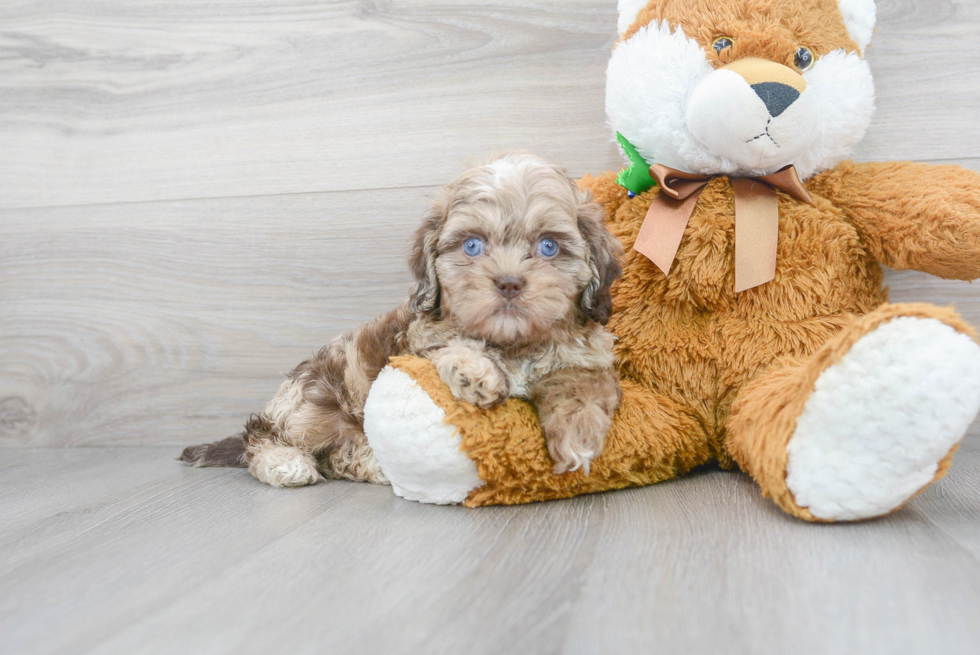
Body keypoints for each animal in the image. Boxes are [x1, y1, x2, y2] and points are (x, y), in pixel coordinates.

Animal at [181, 154, 624, 486]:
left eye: (549, 246)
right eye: (472, 245)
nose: (510, 283)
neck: (515, 343)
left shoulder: (584, 356)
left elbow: (580, 386)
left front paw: (578, 436)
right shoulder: (417, 341)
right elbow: (454, 343)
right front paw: (476, 371)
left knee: (335, 455)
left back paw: (372, 462)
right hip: (315, 398)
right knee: (263, 432)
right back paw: (286, 464)